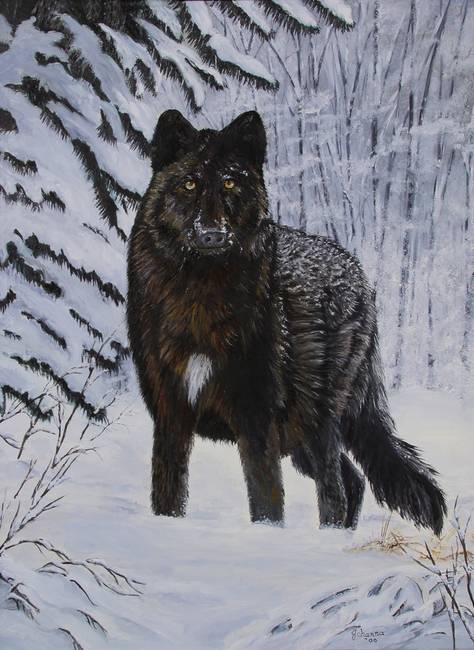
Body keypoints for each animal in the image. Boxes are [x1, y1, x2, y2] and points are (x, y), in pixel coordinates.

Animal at [127, 109, 446, 534]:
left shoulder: (256, 419)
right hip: (297, 434)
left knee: (335, 486)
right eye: (189, 183)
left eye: (229, 182)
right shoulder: (170, 413)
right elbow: (168, 493)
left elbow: (266, 501)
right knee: (353, 480)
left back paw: (332, 536)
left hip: (314, 422)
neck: (200, 298)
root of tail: (359, 275)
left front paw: (266, 539)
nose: (212, 234)